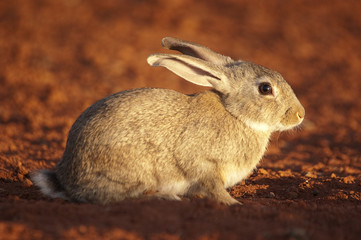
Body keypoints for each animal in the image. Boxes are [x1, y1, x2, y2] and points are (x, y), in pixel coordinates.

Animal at [31, 36, 304, 205]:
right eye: (265, 89)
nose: (300, 114)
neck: (235, 114)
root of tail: (66, 179)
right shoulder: (203, 163)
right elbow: (212, 186)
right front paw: (234, 204)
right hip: (133, 171)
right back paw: (163, 197)